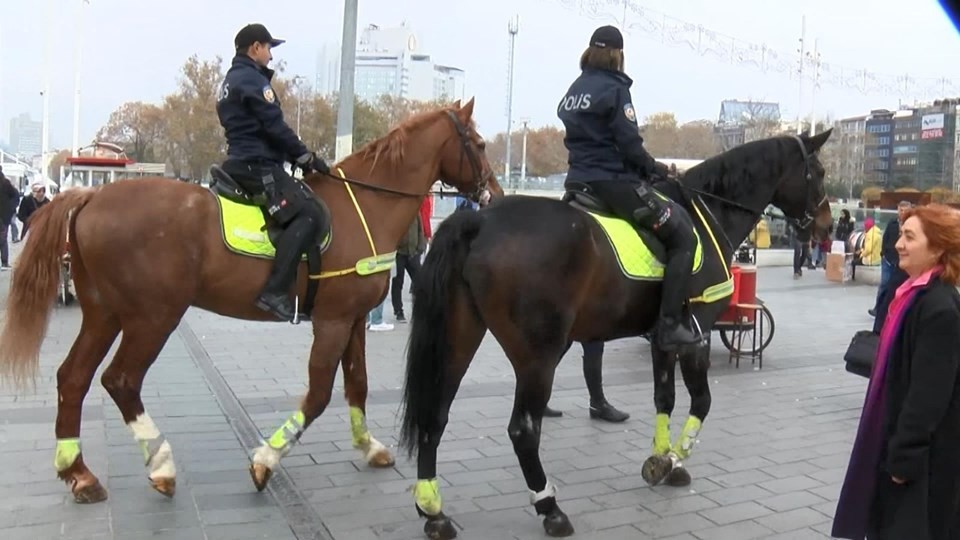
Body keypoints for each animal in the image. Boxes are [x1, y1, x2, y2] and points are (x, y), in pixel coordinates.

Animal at [0, 99, 498, 504]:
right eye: (478, 143)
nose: (495, 194)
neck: (366, 205)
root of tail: (91, 196)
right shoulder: (333, 321)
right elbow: (319, 394)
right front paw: (266, 460)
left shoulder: (353, 318)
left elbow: (357, 384)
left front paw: (369, 445)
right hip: (153, 317)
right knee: (120, 380)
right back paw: (160, 464)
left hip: (105, 313)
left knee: (73, 378)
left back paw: (79, 472)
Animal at [398, 130, 832, 536]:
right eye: (821, 172)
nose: (826, 225)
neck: (708, 214)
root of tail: (480, 220)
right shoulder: (699, 335)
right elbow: (701, 402)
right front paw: (675, 458)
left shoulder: (663, 339)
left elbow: (664, 398)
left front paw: (661, 458)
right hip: (539, 357)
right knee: (523, 430)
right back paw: (549, 507)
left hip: (460, 338)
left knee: (436, 413)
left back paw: (433, 509)